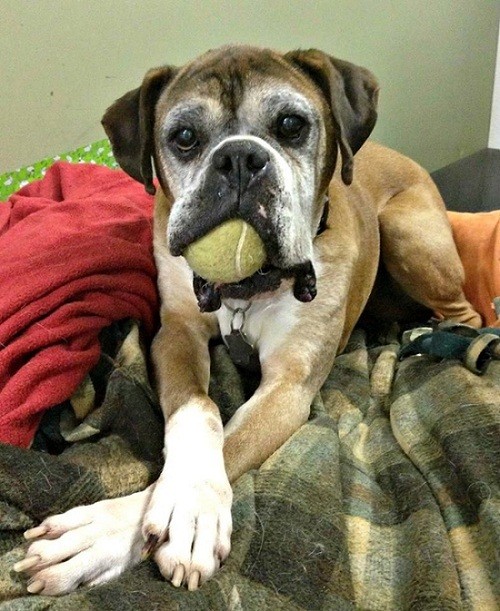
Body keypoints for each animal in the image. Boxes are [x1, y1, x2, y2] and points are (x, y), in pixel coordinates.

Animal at [14, 45, 480, 596]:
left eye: (291, 125)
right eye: (185, 137)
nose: (238, 158)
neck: (246, 291)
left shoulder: (288, 389)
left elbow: (230, 441)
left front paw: (131, 526)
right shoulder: (176, 334)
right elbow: (201, 411)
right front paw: (173, 502)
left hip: (408, 229)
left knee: (469, 312)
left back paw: (442, 336)